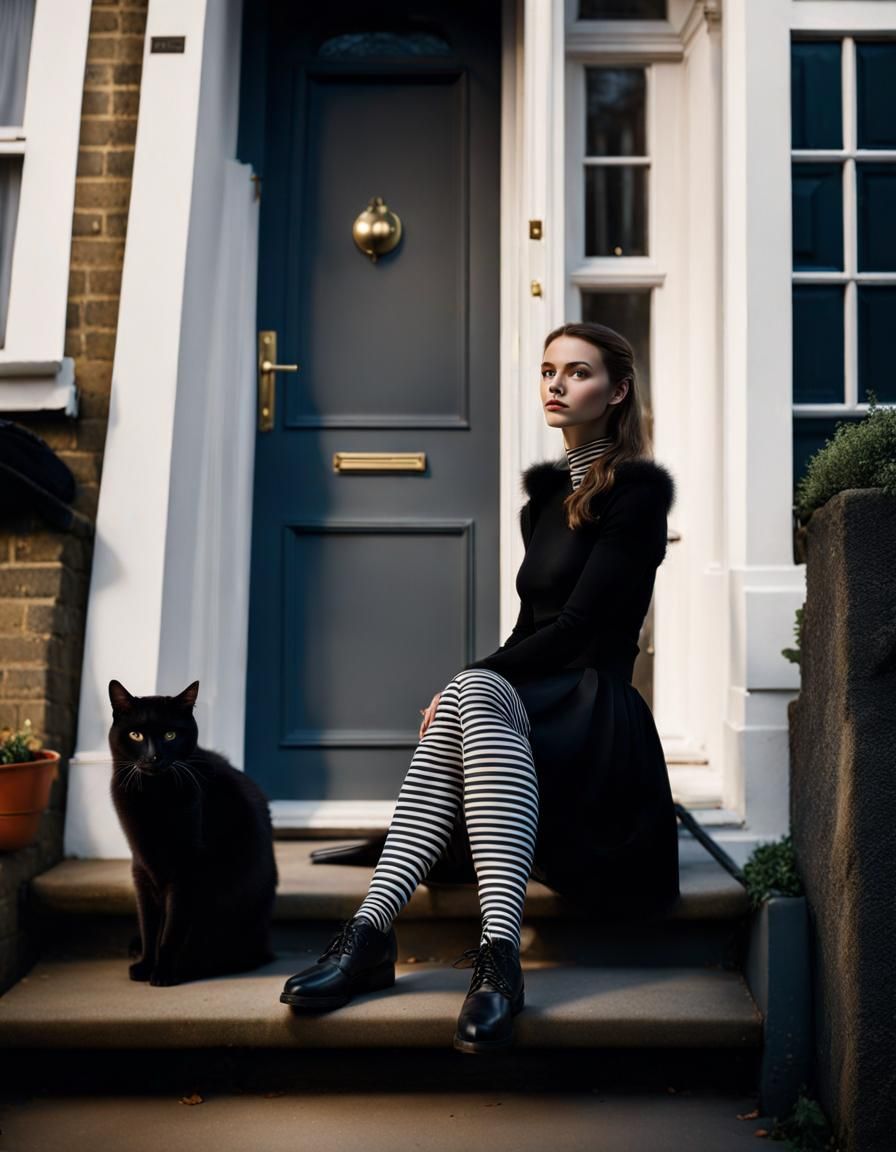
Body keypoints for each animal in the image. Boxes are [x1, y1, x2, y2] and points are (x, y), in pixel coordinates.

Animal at [108, 677, 277, 986]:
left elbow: (171, 929)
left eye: (171, 735)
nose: (153, 756)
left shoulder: (186, 870)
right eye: (136, 735)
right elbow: (150, 925)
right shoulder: (141, 868)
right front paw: (145, 965)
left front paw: (163, 972)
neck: (154, 797)